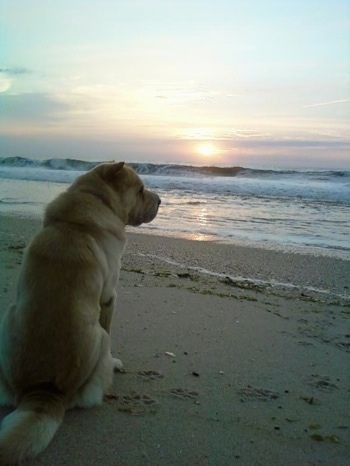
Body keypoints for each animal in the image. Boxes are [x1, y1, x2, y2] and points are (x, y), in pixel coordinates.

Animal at [0, 162, 161, 464]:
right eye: (141, 190)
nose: (161, 200)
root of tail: (44, 392)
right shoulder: (109, 297)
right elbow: (109, 324)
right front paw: (116, 361)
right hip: (99, 341)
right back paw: (111, 366)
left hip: (8, 315)